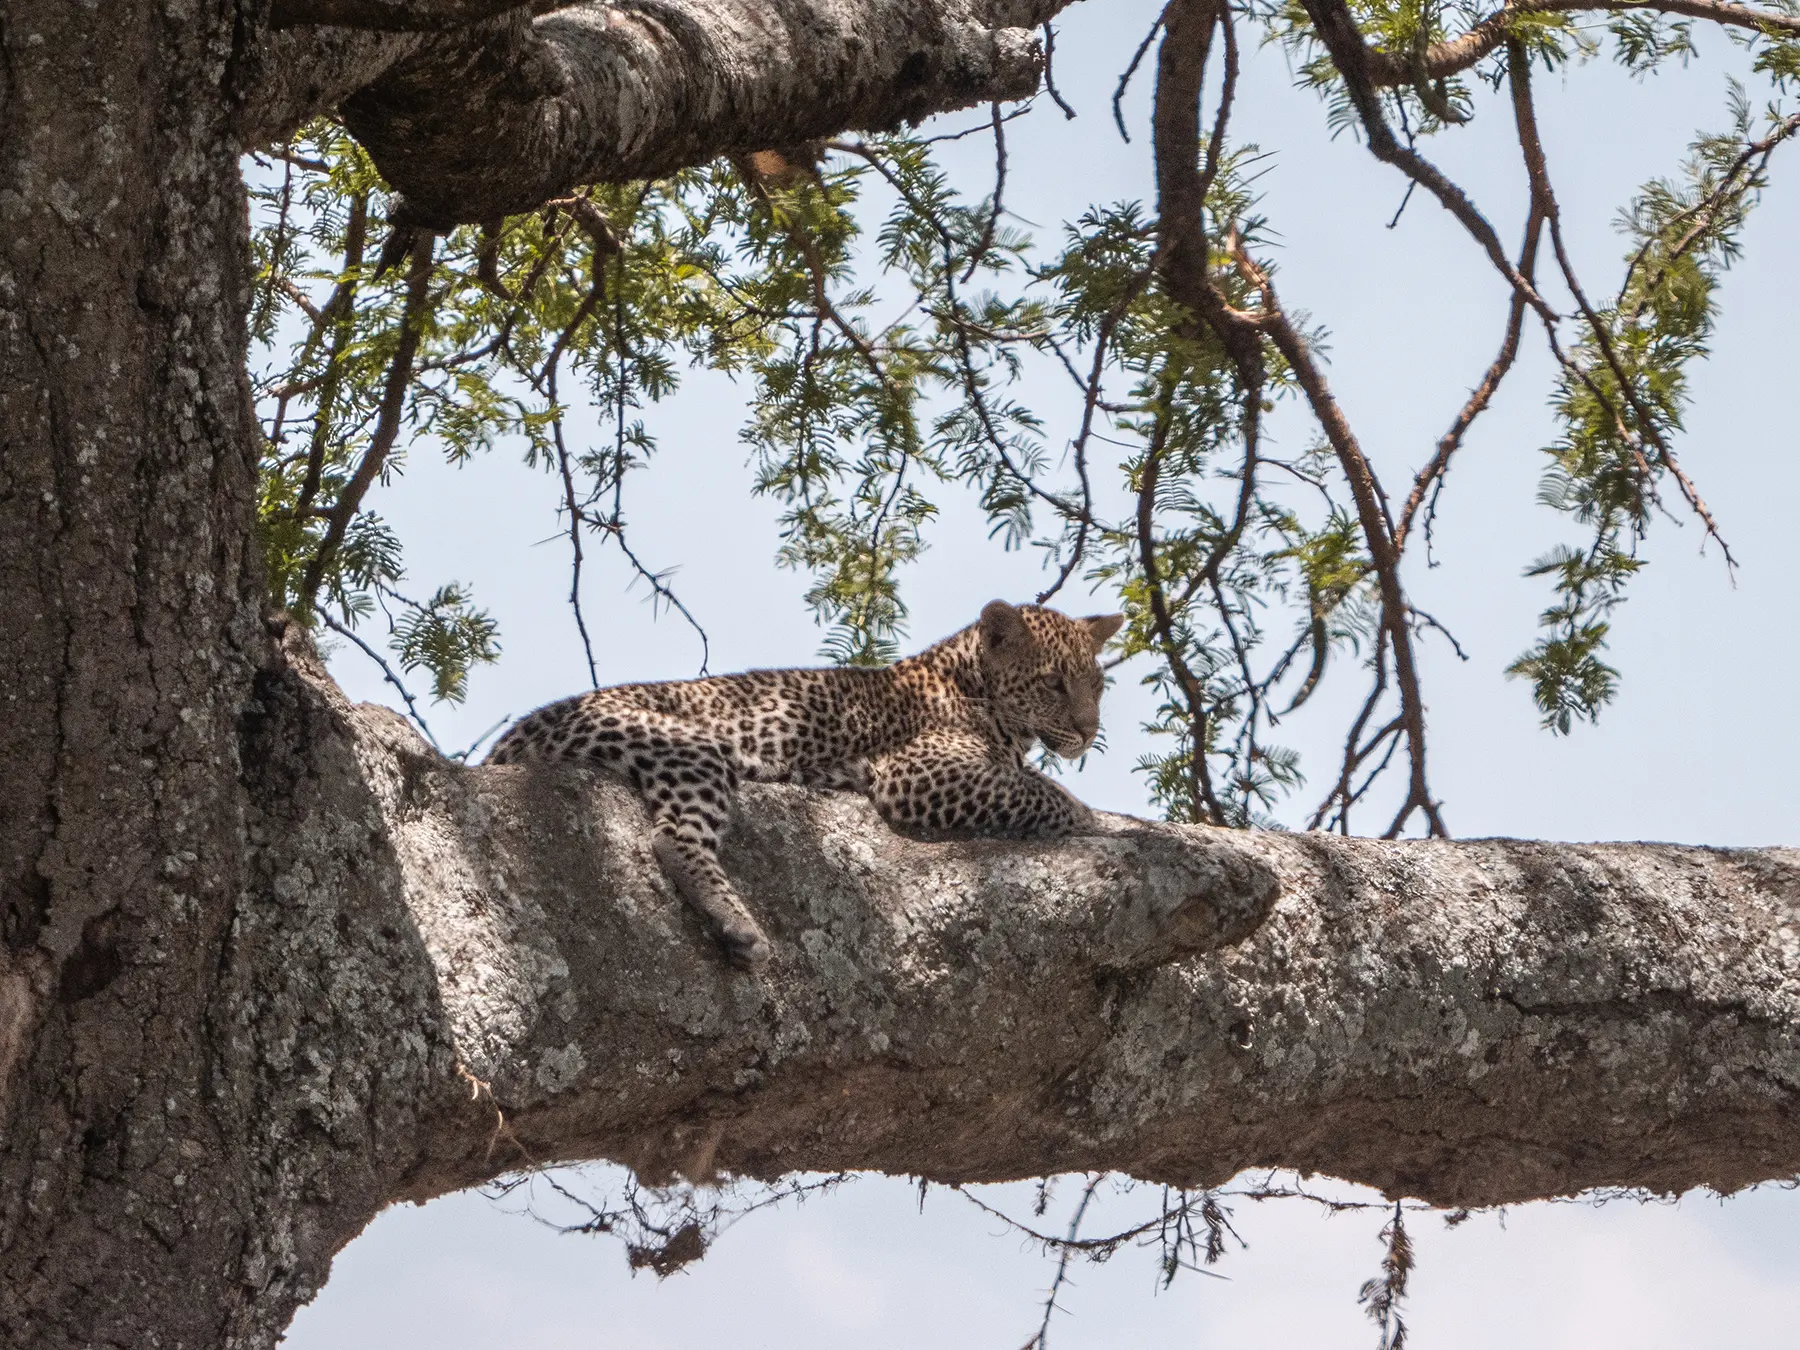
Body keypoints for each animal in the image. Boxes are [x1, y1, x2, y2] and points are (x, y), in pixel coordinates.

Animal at [486, 601, 1116, 972]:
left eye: (1098, 685)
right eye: (1054, 683)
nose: (1089, 731)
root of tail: (517, 734)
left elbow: (1036, 782)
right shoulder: (919, 772)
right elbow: (1044, 793)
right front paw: (1102, 822)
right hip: (690, 747)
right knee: (674, 836)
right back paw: (737, 925)